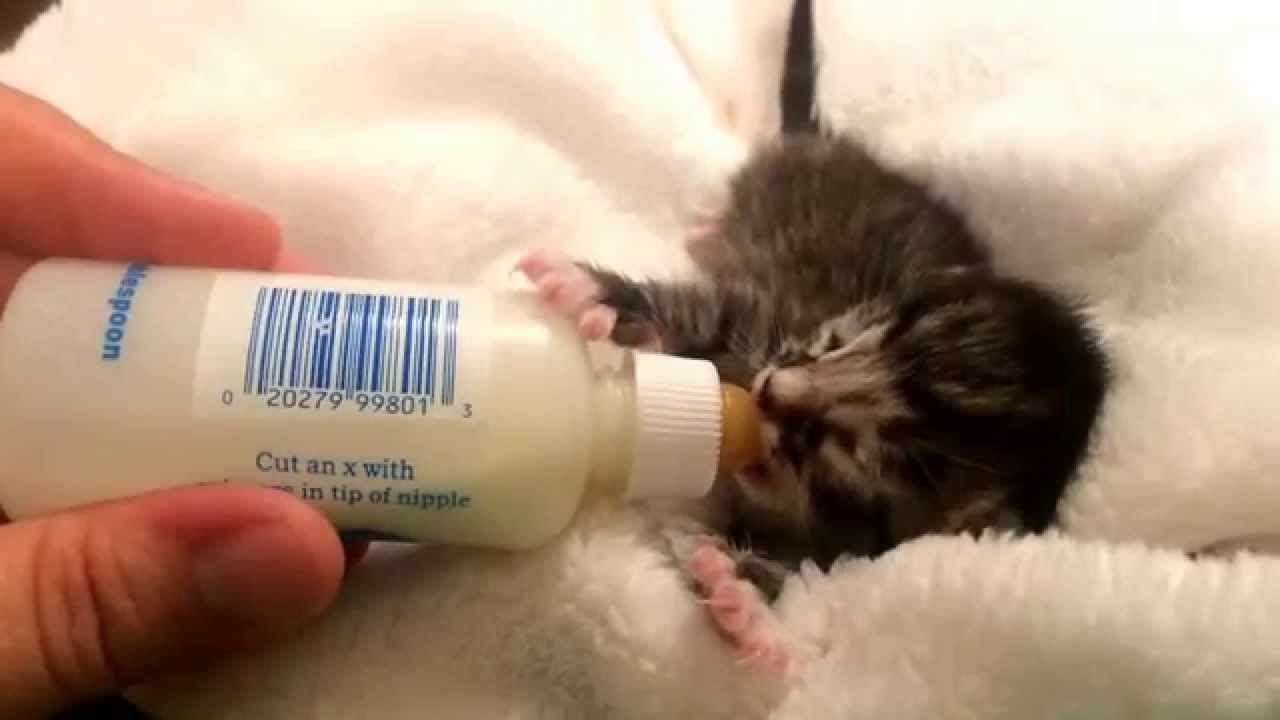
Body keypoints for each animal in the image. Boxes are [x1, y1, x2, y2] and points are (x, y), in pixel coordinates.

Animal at [514, 130, 1105, 666]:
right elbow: (719, 314)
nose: (770, 392)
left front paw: (751, 607)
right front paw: (596, 295)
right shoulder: (771, 323)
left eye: (851, 453)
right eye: (836, 342)